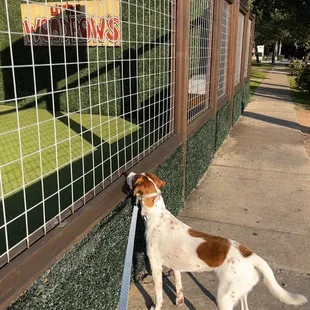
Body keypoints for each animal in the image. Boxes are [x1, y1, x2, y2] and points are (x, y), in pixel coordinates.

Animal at [126, 172, 308, 310]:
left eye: (135, 178)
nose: (128, 173)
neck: (157, 215)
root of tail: (251, 255)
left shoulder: (156, 266)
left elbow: (158, 295)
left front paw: (156, 306)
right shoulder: (175, 265)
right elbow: (178, 285)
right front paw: (179, 301)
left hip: (224, 298)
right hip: (241, 293)